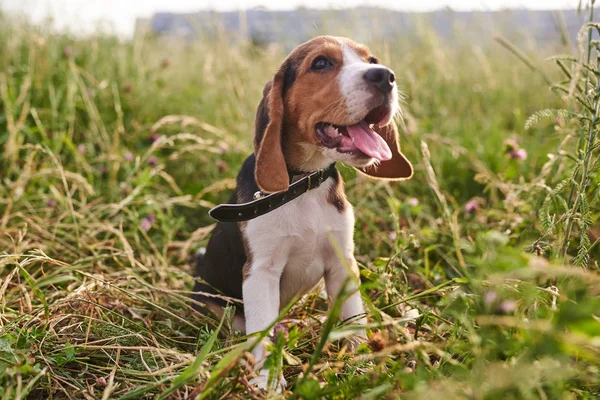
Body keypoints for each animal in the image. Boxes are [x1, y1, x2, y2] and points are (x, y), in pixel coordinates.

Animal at [192, 35, 412, 390]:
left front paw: (361, 364)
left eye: (372, 60)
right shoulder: (260, 273)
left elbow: (354, 317)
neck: (304, 184)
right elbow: (262, 334)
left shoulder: (342, 263)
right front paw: (267, 382)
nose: (385, 76)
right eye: (321, 63)